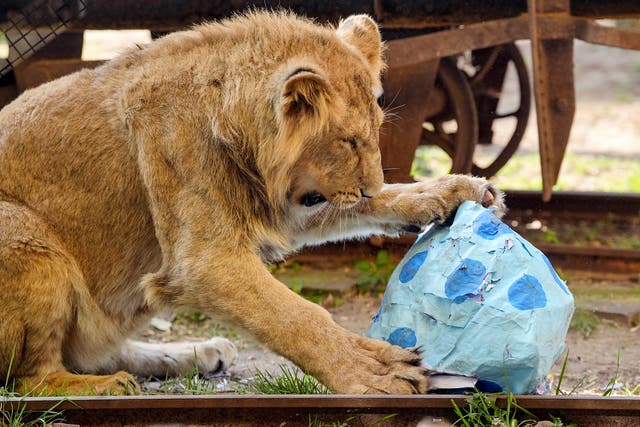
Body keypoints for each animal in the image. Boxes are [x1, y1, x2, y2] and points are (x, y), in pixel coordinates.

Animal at [0, 11, 503, 395]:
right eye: (346, 140)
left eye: (377, 130)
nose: (368, 188)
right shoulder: (204, 261)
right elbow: (296, 315)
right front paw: (372, 371)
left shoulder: (290, 203)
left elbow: (377, 205)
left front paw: (455, 190)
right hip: (27, 235)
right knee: (32, 378)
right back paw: (108, 385)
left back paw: (195, 353)